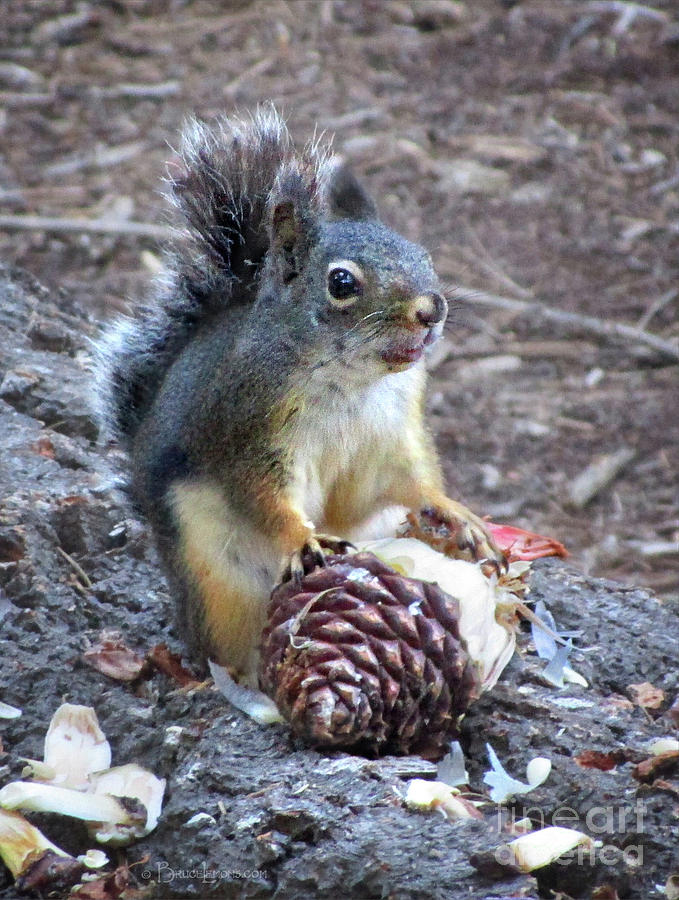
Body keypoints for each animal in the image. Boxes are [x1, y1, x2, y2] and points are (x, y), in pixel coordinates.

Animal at [98, 105, 508, 684]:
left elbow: (402, 483)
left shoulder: (392, 436)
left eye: (423, 254)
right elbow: (264, 497)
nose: (432, 310)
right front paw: (301, 537)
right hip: (216, 584)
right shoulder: (247, 429)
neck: (354, 379)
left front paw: (454, 512)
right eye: (342, 283)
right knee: (220, 647)